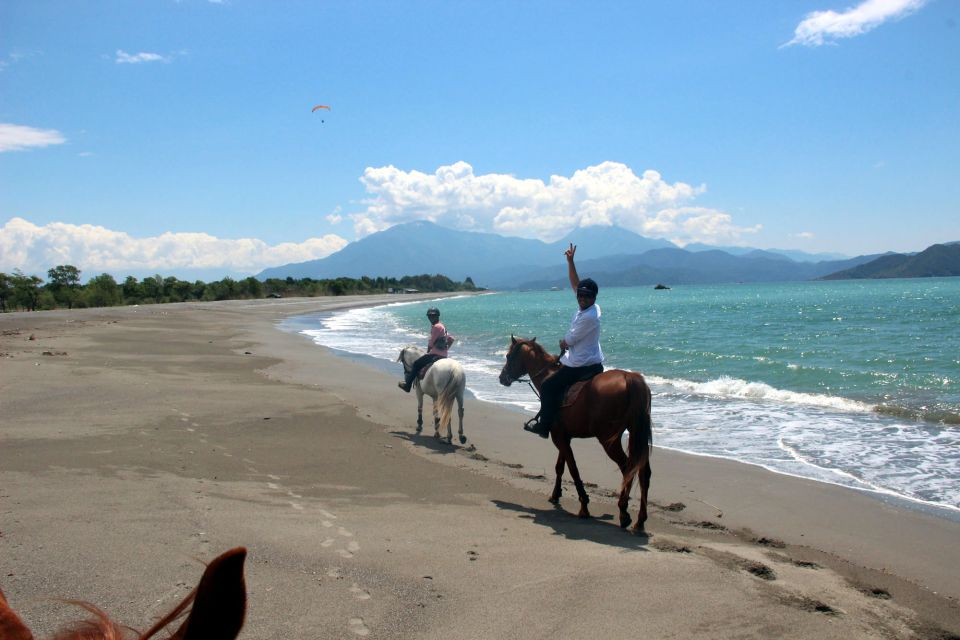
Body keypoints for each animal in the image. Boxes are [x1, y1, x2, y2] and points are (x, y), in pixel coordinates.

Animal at [502, 338, 652, 532]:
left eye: (508, 356)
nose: (502, 377)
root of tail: (630, 378)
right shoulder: (563, 436)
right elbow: (560, 466)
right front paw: (555, 494)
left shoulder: (559, 438)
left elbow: (573, 469)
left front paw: (584, 506)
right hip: (637, 434)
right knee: (643, 472)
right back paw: (640, 521)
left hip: (609, 440)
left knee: (627, 467)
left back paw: (623, 512)